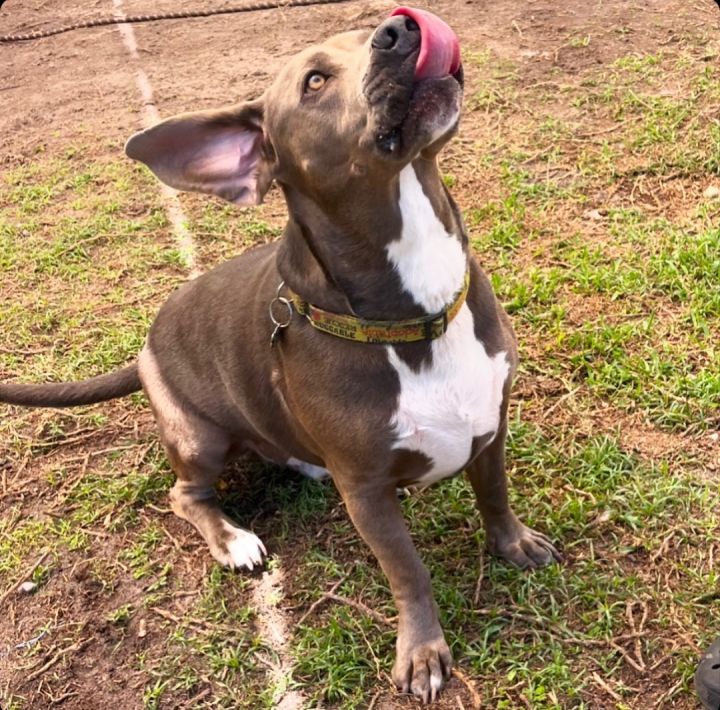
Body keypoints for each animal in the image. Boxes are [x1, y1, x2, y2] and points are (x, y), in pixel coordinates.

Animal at [0, 8, 560, 704]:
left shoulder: (491, 426)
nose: (401, 27)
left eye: (367, 30)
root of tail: (144, 348)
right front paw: (423, 651)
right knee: (185, 495)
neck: (412, 310)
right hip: (198, 437)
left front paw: (514, 544)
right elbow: (409, 571)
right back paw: (234, 541)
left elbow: (496, 496)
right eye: (314, 81)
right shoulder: (368, 494)